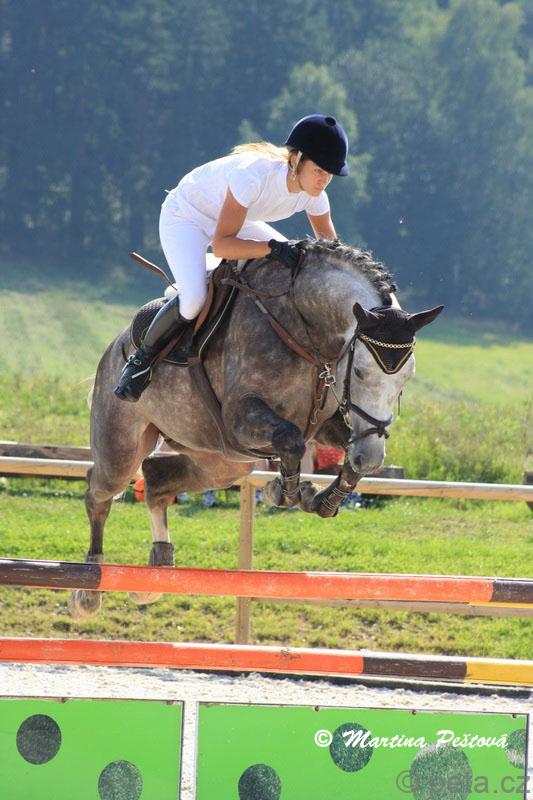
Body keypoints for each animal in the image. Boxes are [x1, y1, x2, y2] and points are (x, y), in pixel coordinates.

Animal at [70, 239, 443, 618]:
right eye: (361, 372)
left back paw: (155, 577)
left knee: (157, 481)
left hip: (221, 461)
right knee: (99, 492)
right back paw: (88, 590)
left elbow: (342, 459)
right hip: (124, 446)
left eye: (406, 378)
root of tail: (115, 346)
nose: (370, 453)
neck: (306, 330)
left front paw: (323, 498)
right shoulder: (241, 418)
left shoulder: (327, 425)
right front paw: (285, 492)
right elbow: (290, 441)